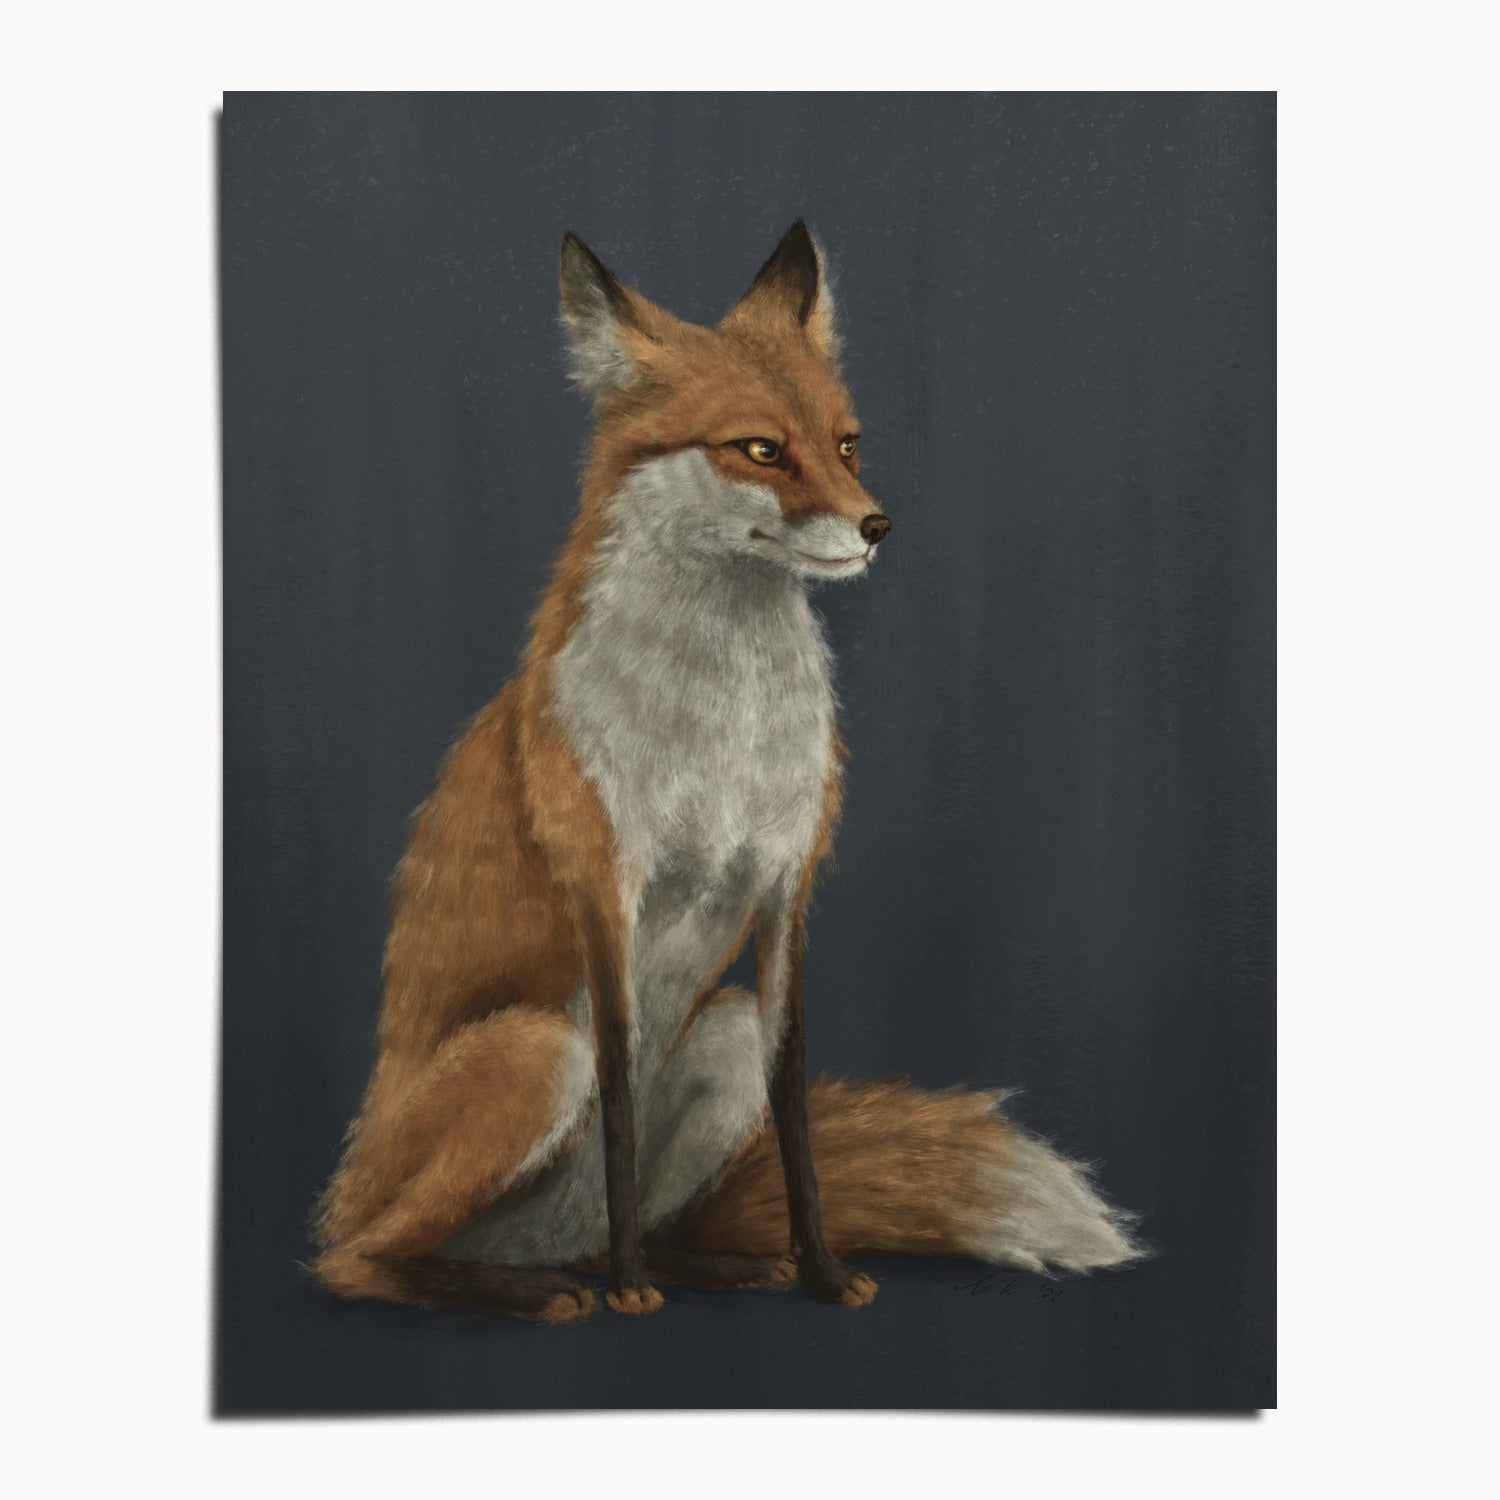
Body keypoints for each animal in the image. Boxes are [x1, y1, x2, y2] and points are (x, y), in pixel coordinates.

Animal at [311, 221, 1144, 1323]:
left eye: (846, 443)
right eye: (759, 449)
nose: (878, 525)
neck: (724, 730)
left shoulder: (787, 889)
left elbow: (794, 1116)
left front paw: (822, 1272)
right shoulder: (605, 891)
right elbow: (621, 1101)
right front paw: (631, 1292)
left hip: (722, 1033)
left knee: (613, 1221)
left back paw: (701, 1264)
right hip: (535, 1052)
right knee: (360, 1260)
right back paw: (543, 1288)